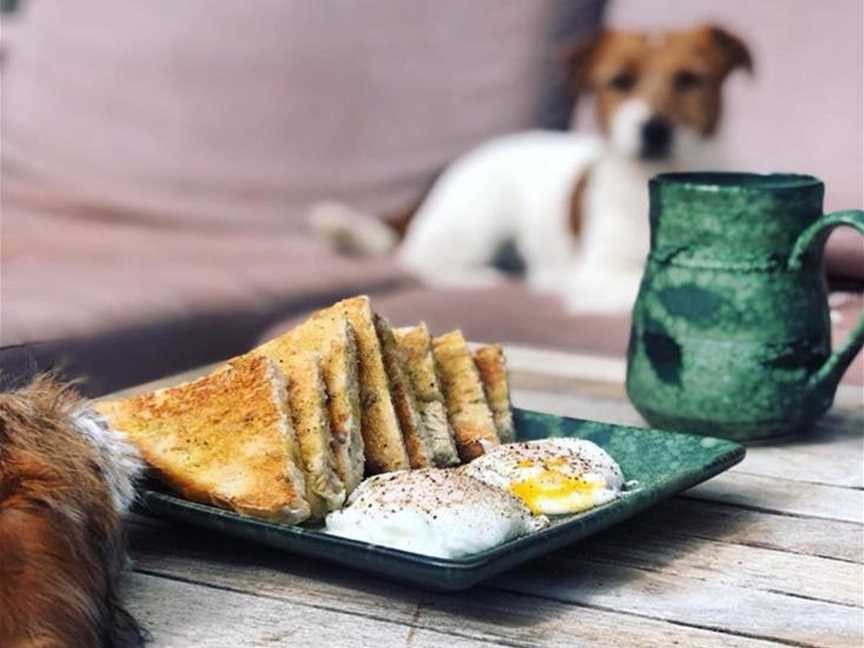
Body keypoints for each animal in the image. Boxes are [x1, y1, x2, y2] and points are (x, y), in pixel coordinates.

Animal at [314, 26, 752, 316]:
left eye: (689, 79)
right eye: (620, 81)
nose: (655, 129)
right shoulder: (597, 274)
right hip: (481, 222)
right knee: (416, 255)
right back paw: (477, 277)